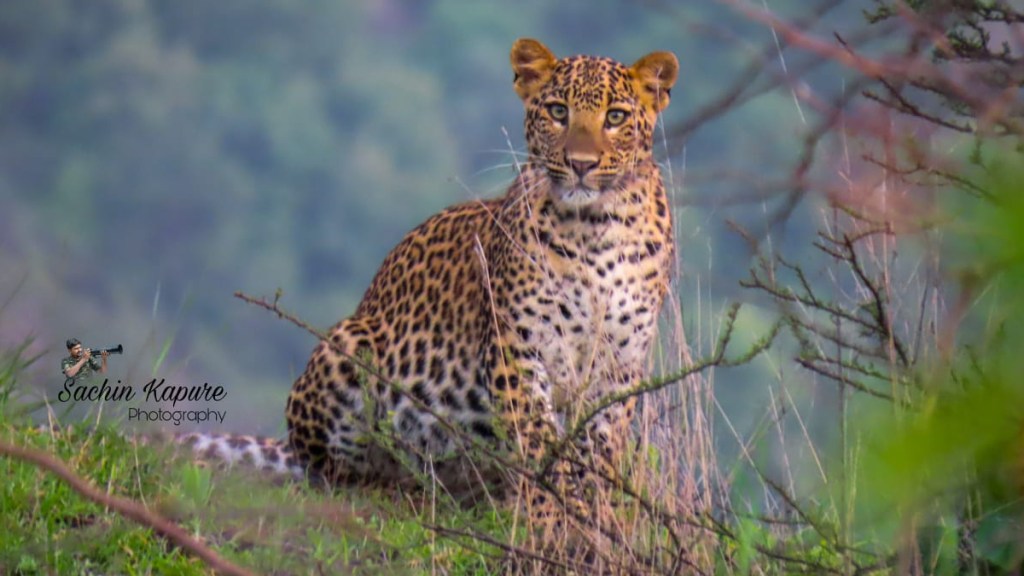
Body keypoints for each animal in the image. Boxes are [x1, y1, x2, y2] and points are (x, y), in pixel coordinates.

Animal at [176, 38, 675, 537]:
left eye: (615, 117)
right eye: (557, 111)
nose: (581, 165)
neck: (594, 230)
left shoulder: (618, 365)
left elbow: (599, 454)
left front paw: (596, 521)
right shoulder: (517, 350)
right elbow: (539, 447)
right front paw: (551, 523)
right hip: (349, 348)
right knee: (339, 476)